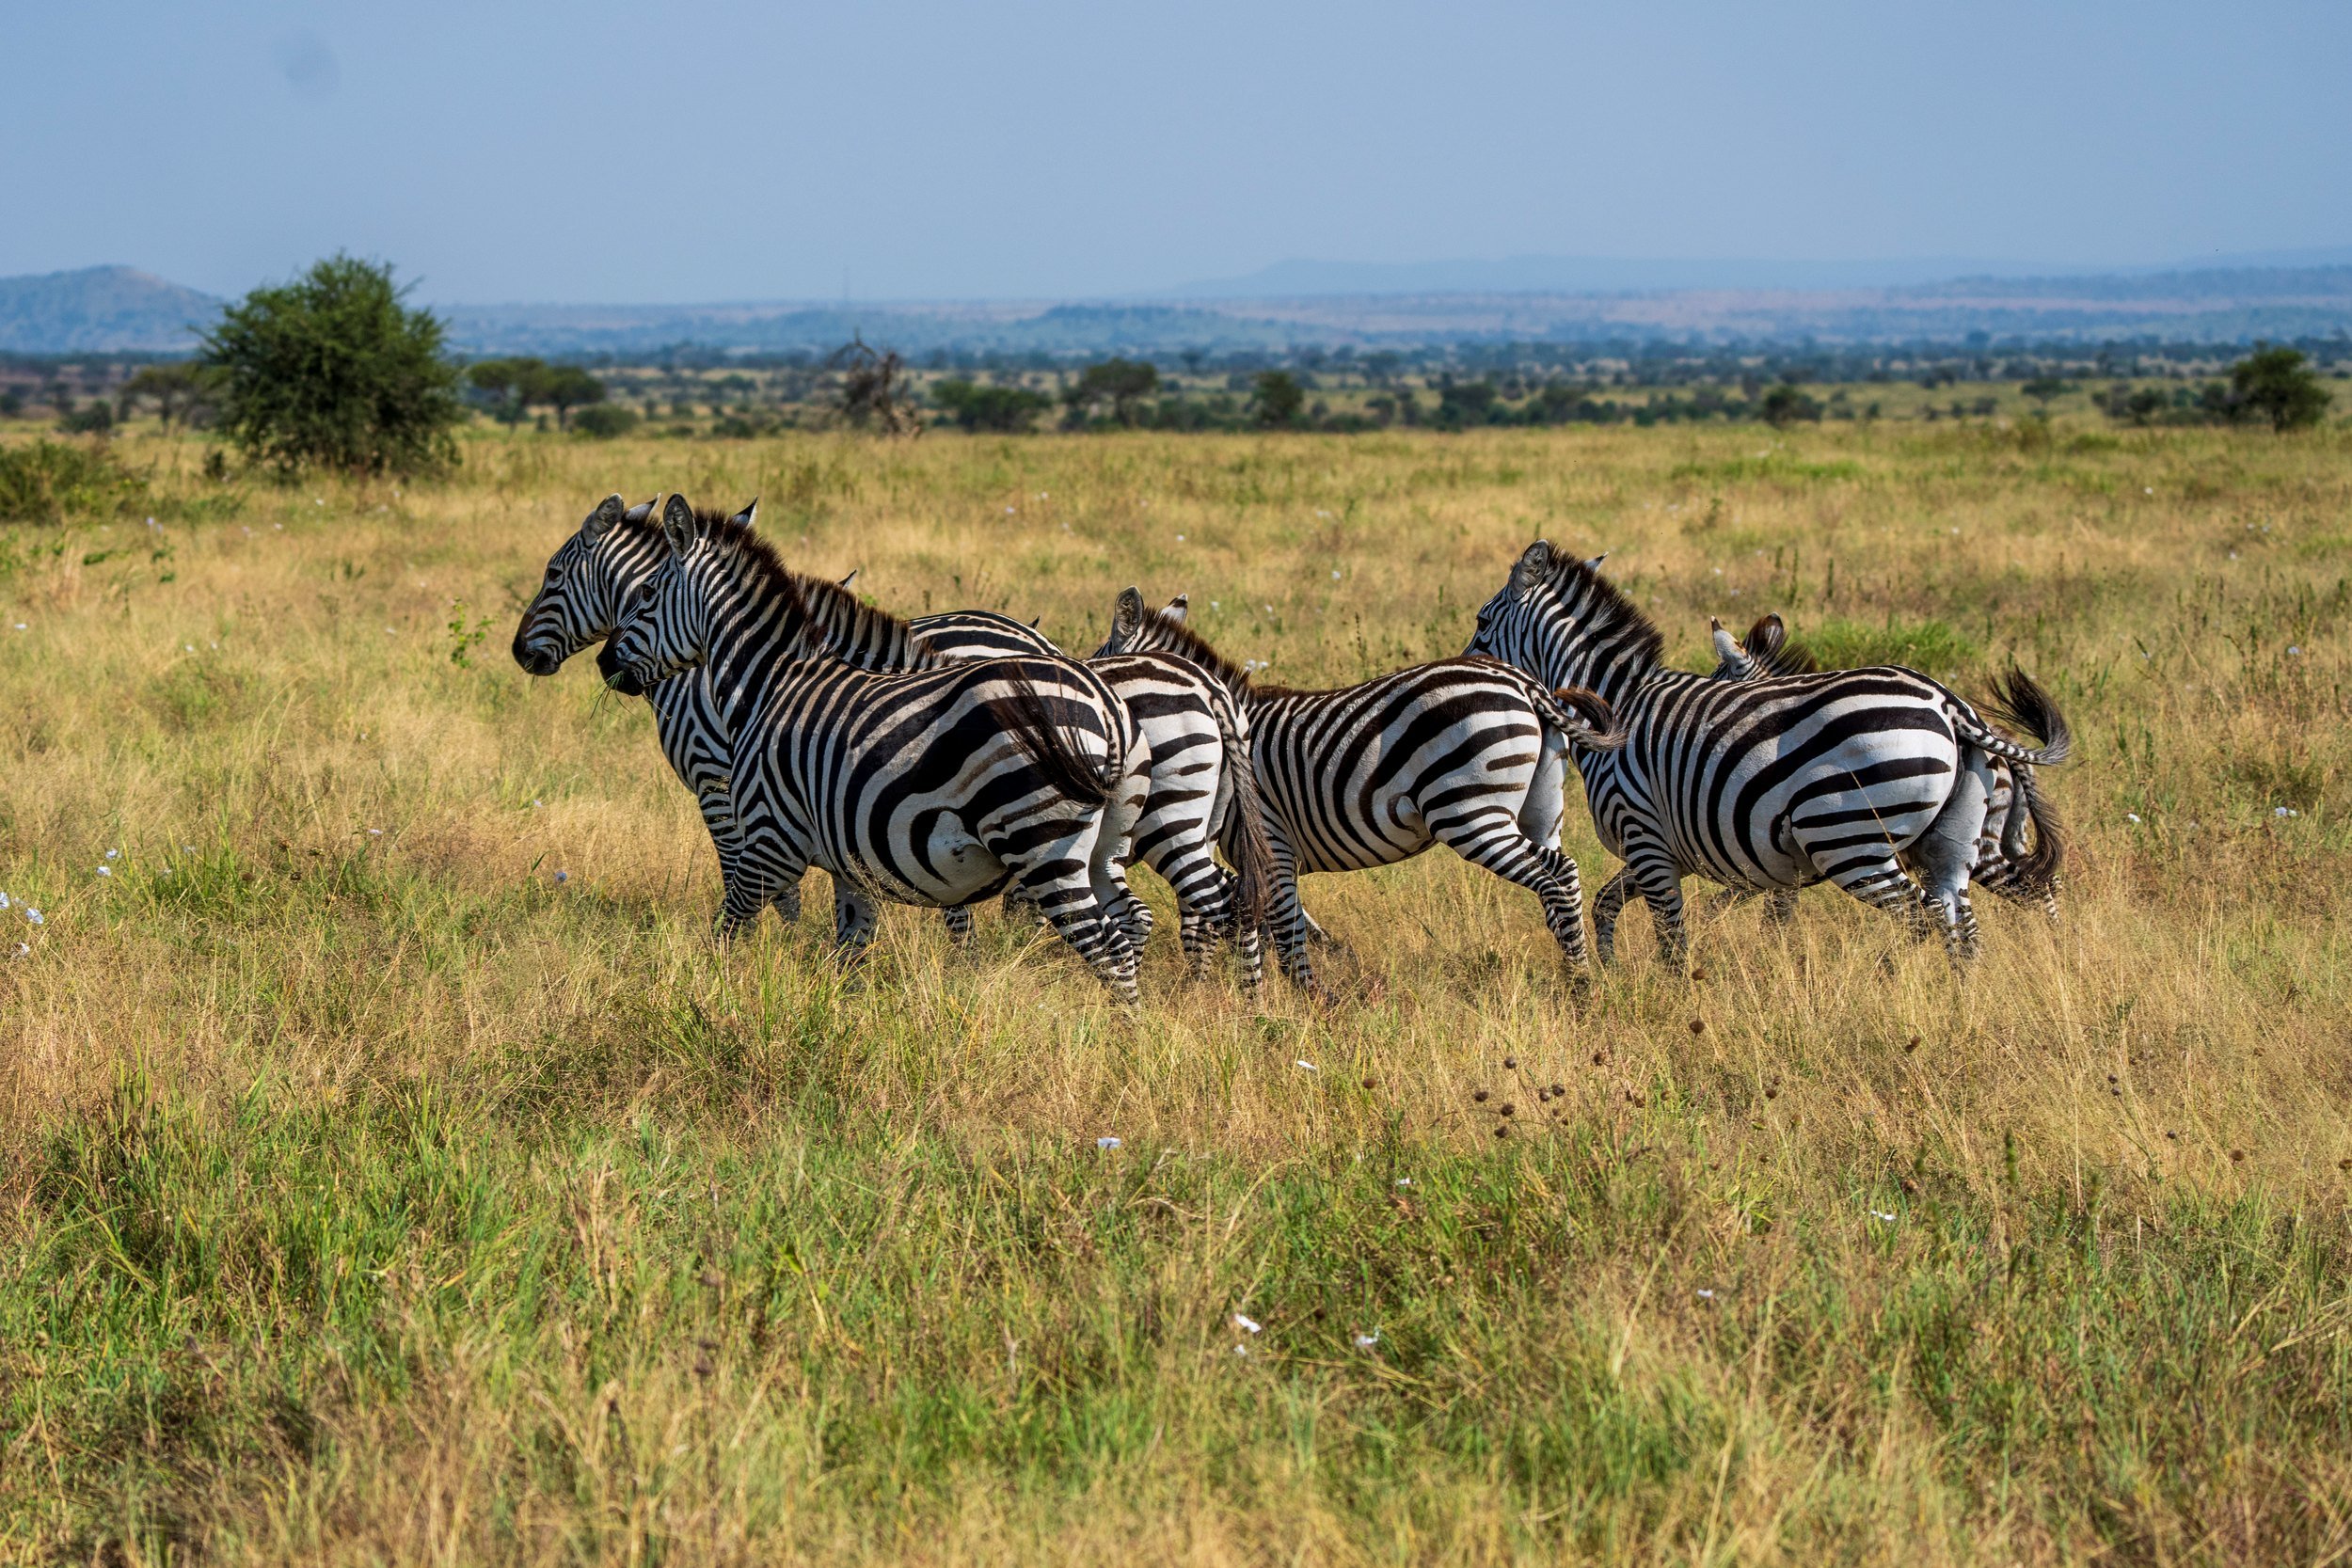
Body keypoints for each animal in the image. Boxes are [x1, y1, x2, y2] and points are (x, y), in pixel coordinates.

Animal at [515, 498, 1270, 981]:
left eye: (553, 575)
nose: (525, 654)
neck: (764, 679)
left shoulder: (730, 796)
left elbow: (741, 905)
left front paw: (741, 976)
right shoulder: (834, 830)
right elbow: (844, 927)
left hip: (1121, 828)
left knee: (1196, 908)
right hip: (1127, 834)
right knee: (1171, 912)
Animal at [1092, 588, 1625, 998]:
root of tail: (1527, 685)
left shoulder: (1270, 841)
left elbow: (1279, 927)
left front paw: (1296, 998)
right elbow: (1274, 922)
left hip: (1469, 813)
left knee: (1552, 878)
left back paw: (1580, 983)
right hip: (1541, 810)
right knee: (1565, 874)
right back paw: (1580, 977)